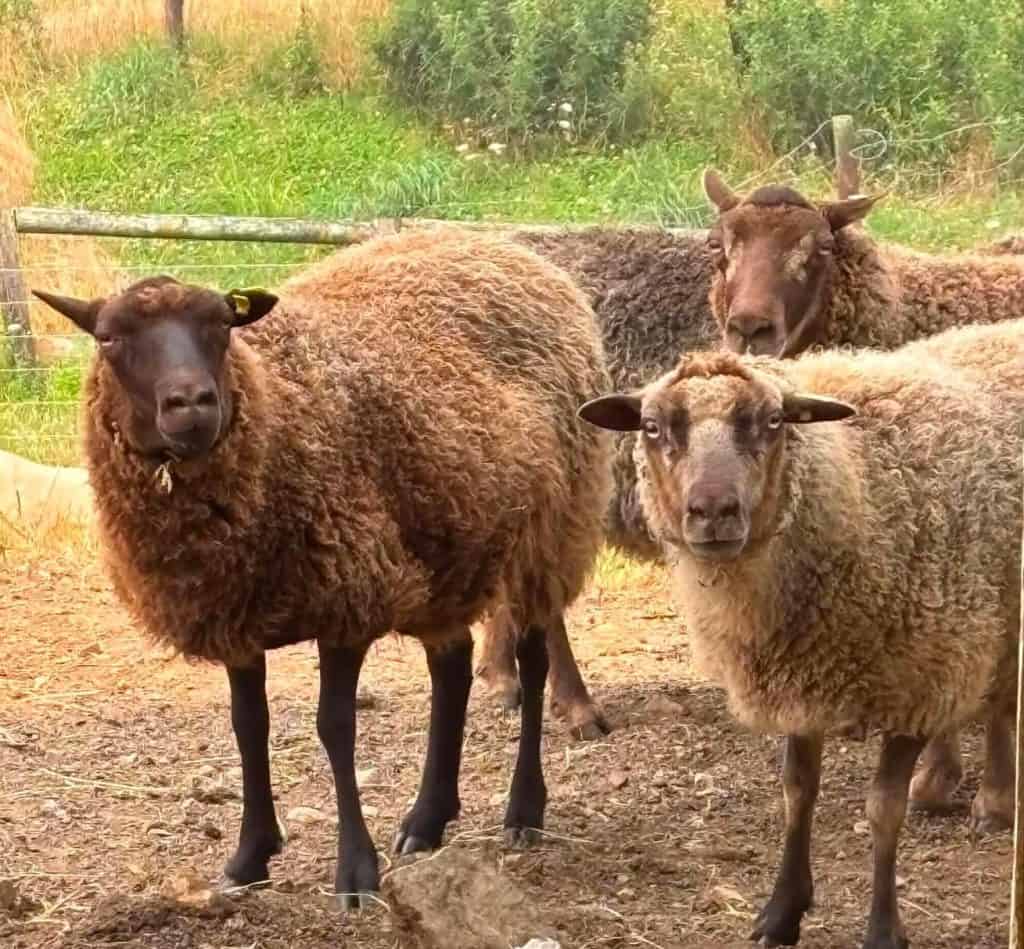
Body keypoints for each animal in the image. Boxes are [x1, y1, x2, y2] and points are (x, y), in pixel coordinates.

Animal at [32, 226, 612, 909]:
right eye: (109, 338)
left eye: (221, 325)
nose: (192, 403)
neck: (274, 403)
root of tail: (509, 250)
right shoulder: (237, 615)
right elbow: (248, 727)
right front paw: (249, 858)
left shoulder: (347, 594)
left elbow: (335, 727)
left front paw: (354, 873)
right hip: (450, 542)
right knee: (452, 669)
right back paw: (427, 820)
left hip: (550, 528)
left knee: (533, 657)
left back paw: (523, 811)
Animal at [577, 318, 1023, 948]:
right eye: (653, 426)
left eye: (771, 421)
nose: (713, 511)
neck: (859, 488)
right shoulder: (803, 677)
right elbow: (797, 791)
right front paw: (781, 911)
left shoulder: (915, 679)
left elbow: (882, 811)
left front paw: (882, 929)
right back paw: (959, 787)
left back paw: (993, 799)